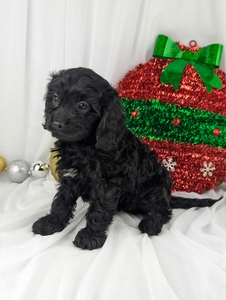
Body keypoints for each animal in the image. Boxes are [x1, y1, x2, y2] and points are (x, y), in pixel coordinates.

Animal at [32, 68, 218, 251]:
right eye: (55, 98)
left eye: (82, 106)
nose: (56, 123)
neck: (85, 145)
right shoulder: (70, 176)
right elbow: (61, 201)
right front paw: (51, 223)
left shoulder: (109, 184)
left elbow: (99, 209)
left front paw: (90, 236)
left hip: (155, 188)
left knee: (162, 209)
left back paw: (151, 223)